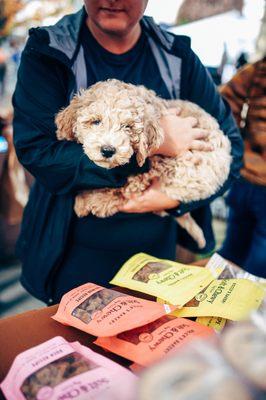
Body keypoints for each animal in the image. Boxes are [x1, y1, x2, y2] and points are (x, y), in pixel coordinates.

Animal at [55, 78, 231, 248]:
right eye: (96, 122)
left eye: (127, 127)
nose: (108, 150)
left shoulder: (153, 163)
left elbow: (125, 186)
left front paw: (89, 200)